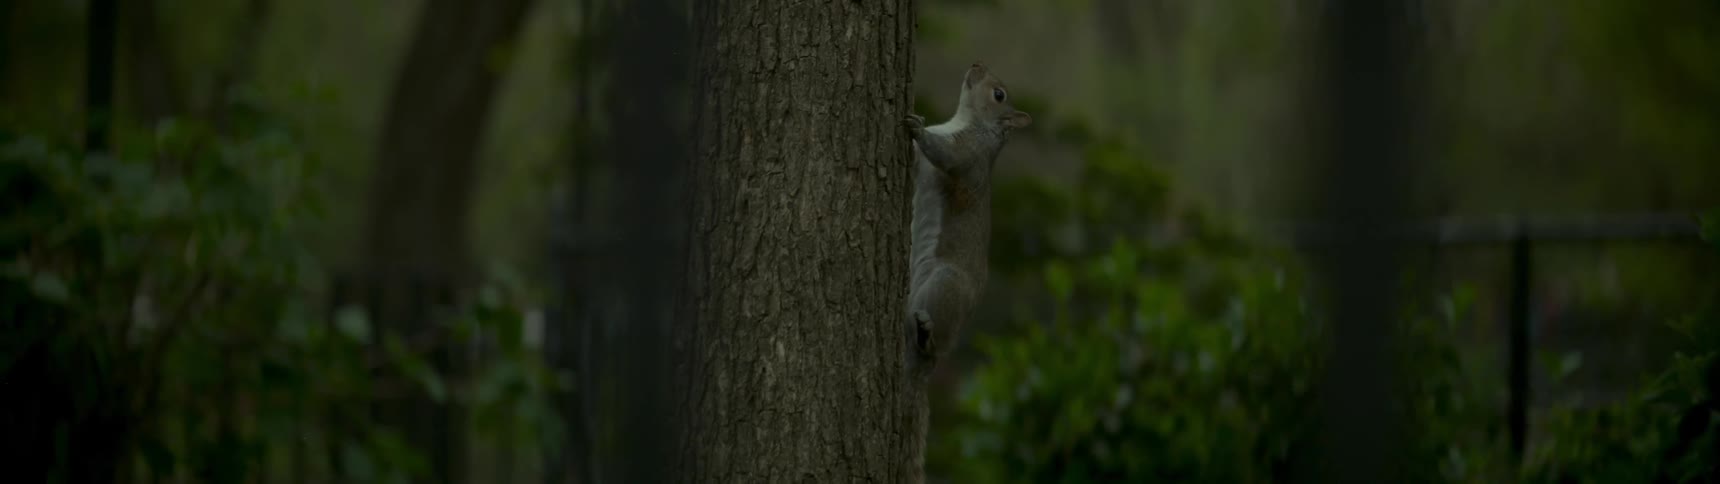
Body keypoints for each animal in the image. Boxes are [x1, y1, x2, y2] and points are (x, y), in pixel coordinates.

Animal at [903, 63, 1032, 375]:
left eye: (999, 95)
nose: (976, 65)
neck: (963, 120)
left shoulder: (969, 156)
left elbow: (945, 155)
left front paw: (917, 129)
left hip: (947, 285)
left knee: (935, 345)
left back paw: (926, 335)